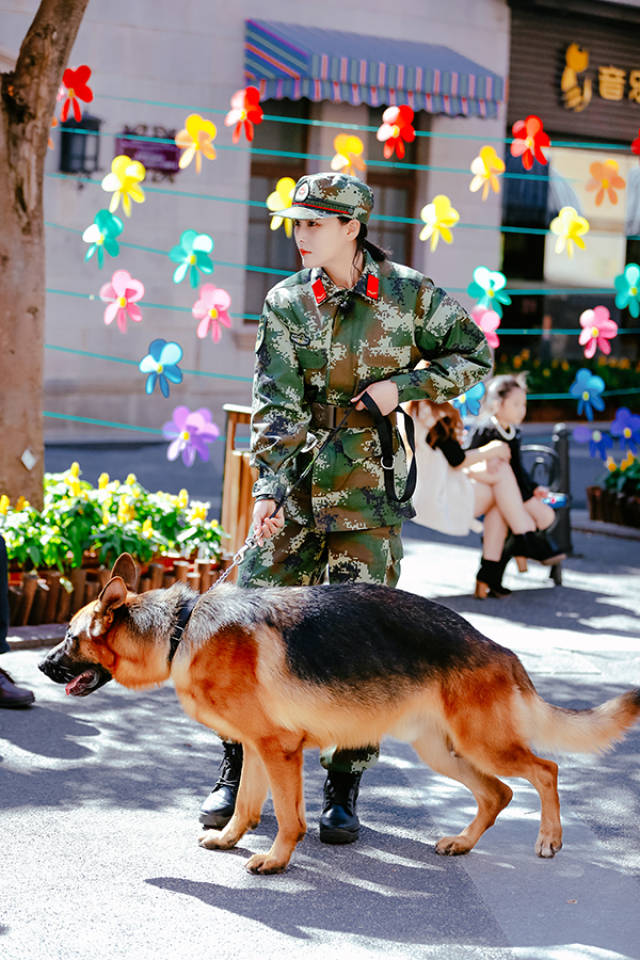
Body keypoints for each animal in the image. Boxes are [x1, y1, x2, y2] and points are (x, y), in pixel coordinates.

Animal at [41, 556, 640, 876]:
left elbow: (288, 818)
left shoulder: (280, 749)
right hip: (441, 751)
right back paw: (463, 843)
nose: (43, 665)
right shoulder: (257, 748)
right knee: (499, 793)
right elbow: (248, 806)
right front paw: (231, 839)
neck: (180, 629)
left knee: (545, 771)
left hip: (481, 744)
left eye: (69, 637)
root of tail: (500, 648)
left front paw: (275, 863)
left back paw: (550, 840)